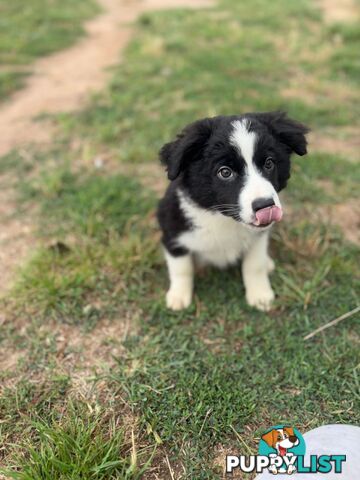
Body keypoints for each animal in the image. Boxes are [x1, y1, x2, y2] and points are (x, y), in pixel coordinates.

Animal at [158, 114, 310, 314]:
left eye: (269, 163)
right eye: (225, 172)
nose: (265, 206)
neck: (222, 217)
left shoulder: (258, 237)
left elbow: (254, 265)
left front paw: (260, 295)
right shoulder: (172, 231)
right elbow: (181, 267)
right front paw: (178, 297)